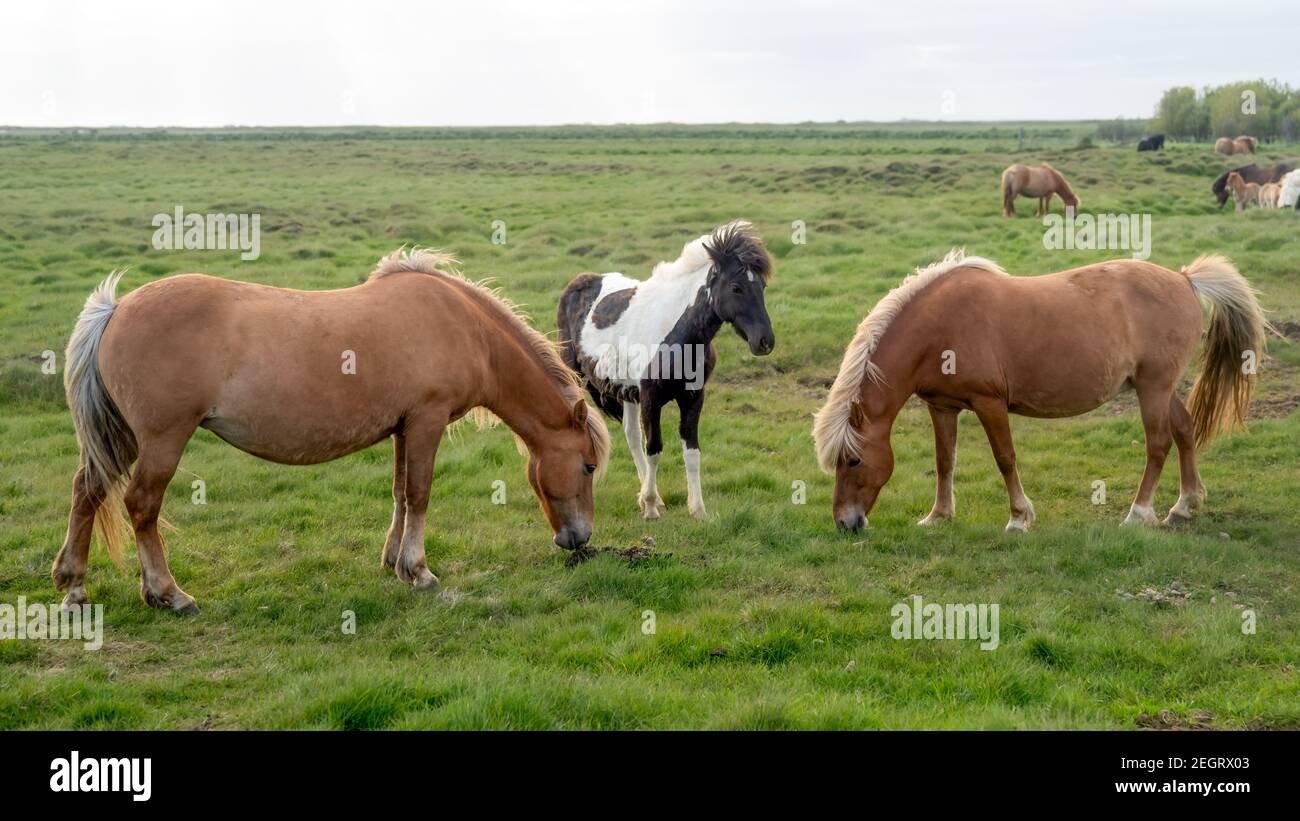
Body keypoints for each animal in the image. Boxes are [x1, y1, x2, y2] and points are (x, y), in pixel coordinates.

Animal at [54, 249, 610, 614]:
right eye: (587, 466)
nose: (579, 540)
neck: (463, 327)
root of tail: (116, 309)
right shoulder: (426, 420)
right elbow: (420, 493)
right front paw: (420, 571)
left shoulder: (403, 427)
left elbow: (400, 494)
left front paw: (393, 561)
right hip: (161, 441)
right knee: (141, 506)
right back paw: (169, 594)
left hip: (123, 438)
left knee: (87, 491)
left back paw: (75, 586)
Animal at [557, 222, 774, 520]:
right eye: (736, 287)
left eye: (762, 285)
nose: (765, 341)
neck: (678, 335)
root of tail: (578, 282)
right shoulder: (651, 398)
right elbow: (655, 449)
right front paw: (650, 508)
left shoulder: (693, 397)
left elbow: (691, 452)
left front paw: (696, 509)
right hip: (577, 380)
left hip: (626, 391)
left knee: (631, 435)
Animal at [813, 251, 1269, 534]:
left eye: (853, 460)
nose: (844, 523)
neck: (938, 329)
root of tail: (1185, 279)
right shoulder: (942, 407)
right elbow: (945, 461)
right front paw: (939, 516)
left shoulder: (989, 403)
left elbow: (1005, 458)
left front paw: (1019, 518)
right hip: (1159, 386)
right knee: (1185, 432)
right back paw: (1183, 506)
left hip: (1153, 388)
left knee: (1158, 444)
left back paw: (1139, 513)